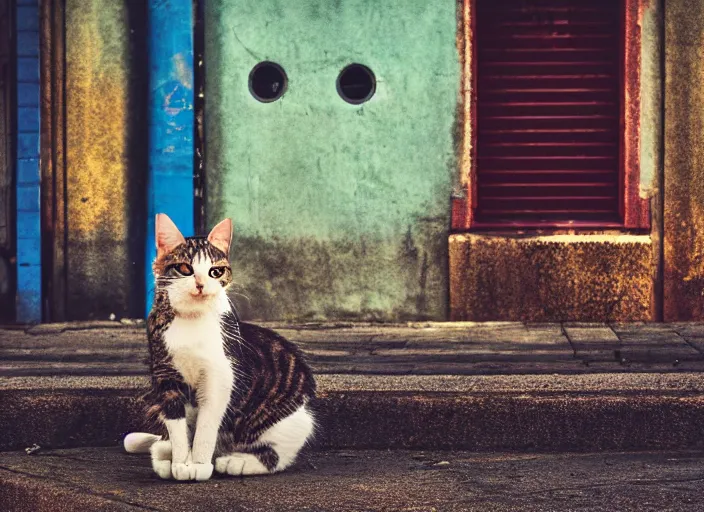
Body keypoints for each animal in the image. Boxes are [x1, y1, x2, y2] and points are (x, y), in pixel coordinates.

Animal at [124, 214, 316, 482]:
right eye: (185, 268)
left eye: (216, 271)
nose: (201, 284)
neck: (191, 320)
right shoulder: (166, 377)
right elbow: (178, 428)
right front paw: (181, 463)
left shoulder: (219, 376)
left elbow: (206, 426)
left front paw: (199, 465)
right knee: (161, 442)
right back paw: (165, 457)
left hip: (287, 424)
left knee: (277, 455)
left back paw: (236, 461)